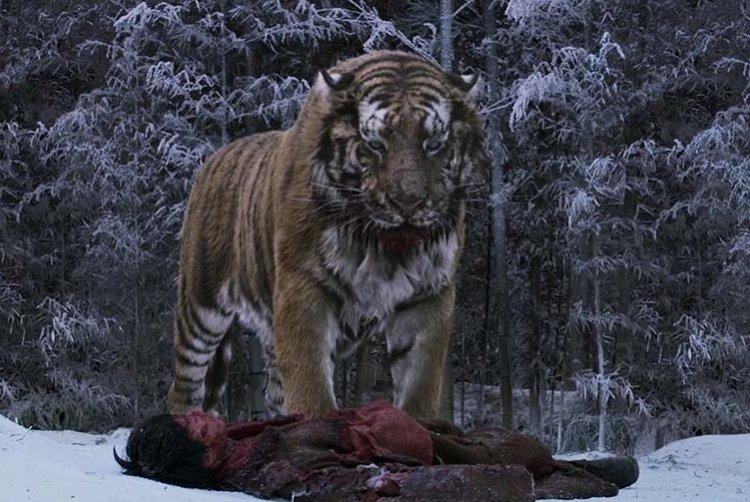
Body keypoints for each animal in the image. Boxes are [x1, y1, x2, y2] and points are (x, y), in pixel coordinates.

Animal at [167, 50, 488, 419]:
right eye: (375, 144)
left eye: (433, 144)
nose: (408, 202)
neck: (385, 246)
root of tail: (213, 158)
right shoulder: (302, 284)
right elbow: (310, 379)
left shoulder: (429, 293)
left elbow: (420, 380)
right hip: (200, 307)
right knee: (185, 385)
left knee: (275, 392)